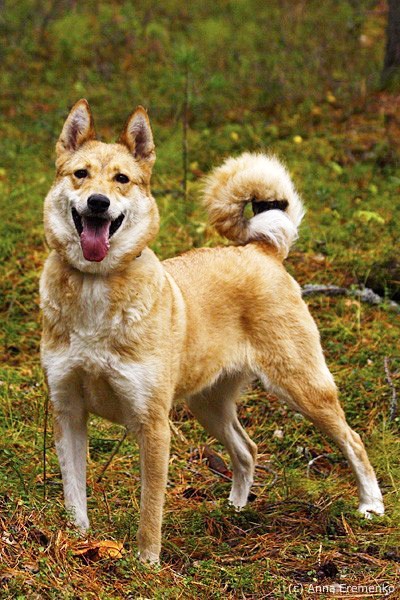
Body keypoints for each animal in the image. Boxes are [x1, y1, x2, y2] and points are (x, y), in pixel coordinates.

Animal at [40, 99, 384, 563]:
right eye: (80, 174)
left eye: (122, 179)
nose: (98, 202)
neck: (95, 287)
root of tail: (261, 249)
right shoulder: (69, 412)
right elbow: (74, 492)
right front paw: (76, 540)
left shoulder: (153, 423)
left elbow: (151, 509)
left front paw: (147, 565)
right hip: (209, 404)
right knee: (247, 450)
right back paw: (235, 510)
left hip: (303, 387)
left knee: (353, 439)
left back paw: (371, 505)